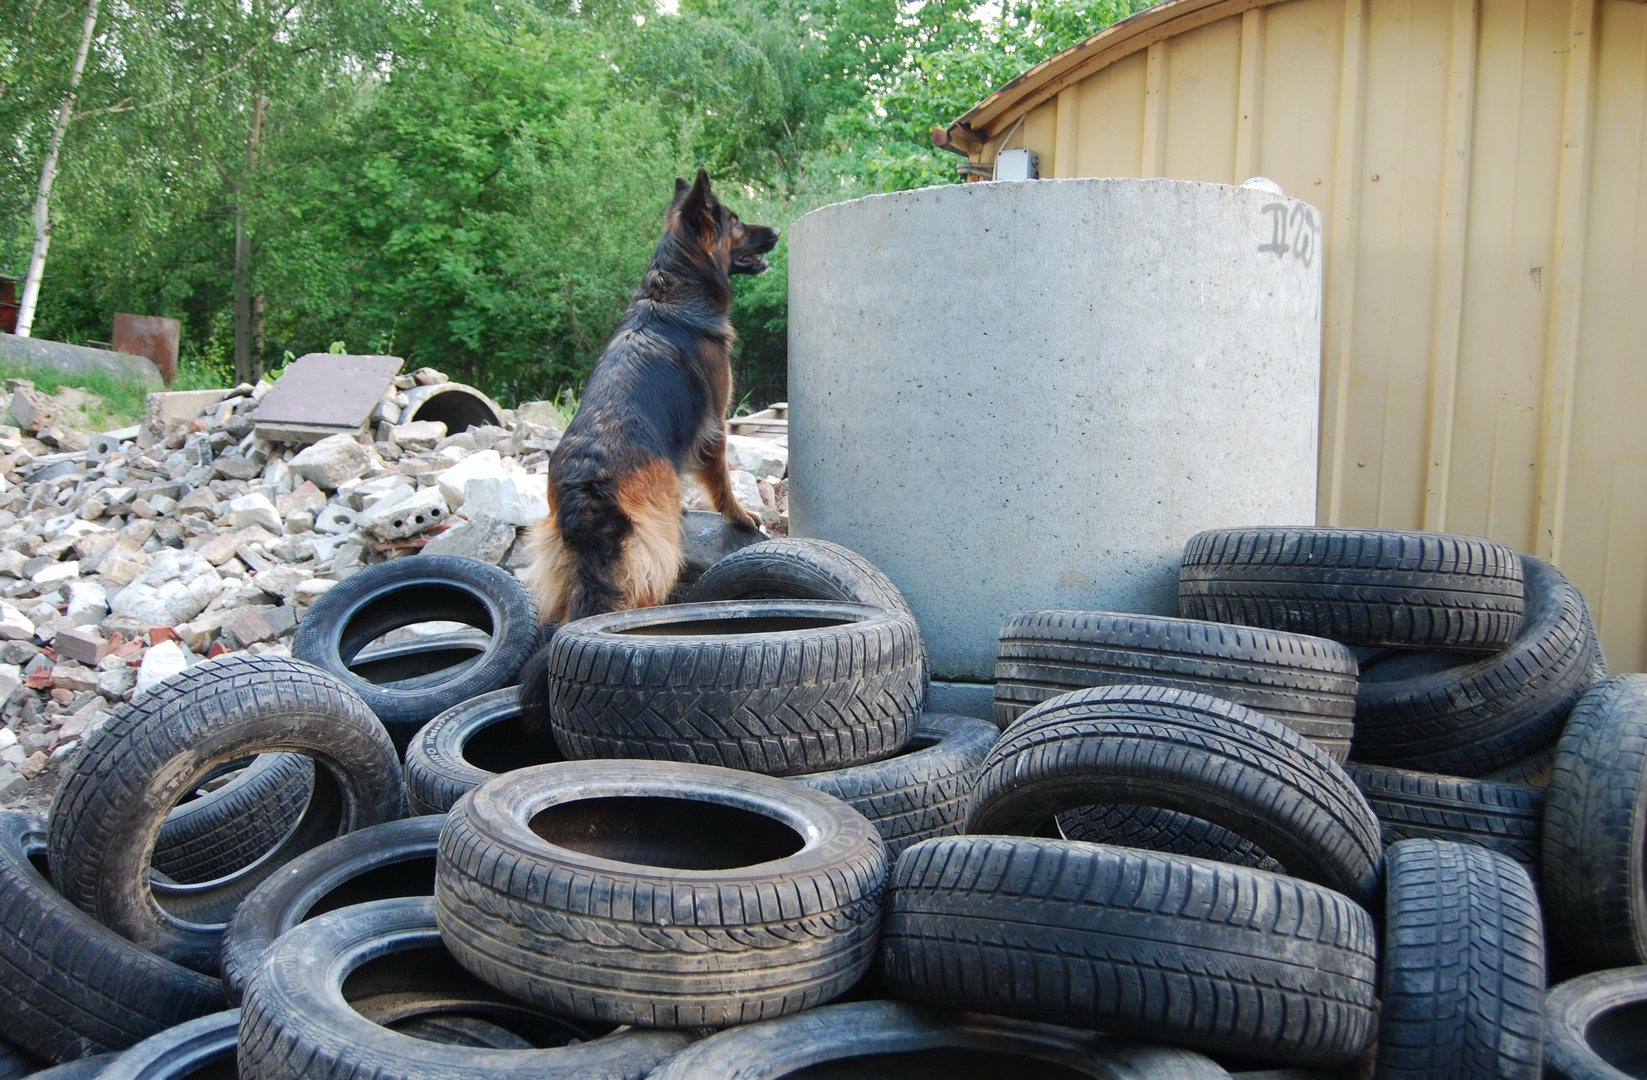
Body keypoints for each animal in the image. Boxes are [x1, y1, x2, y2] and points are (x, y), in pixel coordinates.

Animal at [520, 168, 777, 724]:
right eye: (736, 221)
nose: (775, 232)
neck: (672, 290)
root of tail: (583, 485)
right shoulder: (716, 425)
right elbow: (721, 480)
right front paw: (741, 516)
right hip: (653, 554)